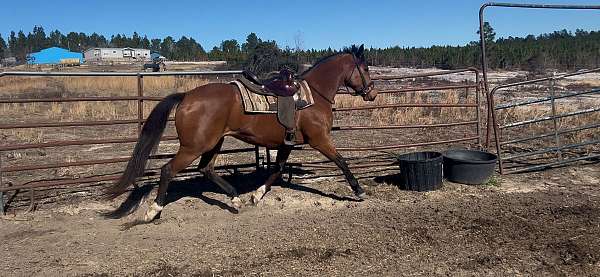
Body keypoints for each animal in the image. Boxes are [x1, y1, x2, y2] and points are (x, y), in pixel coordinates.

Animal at [105, 44, 378, 221]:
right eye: (365, 68)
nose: (372, 93)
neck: (313, 96)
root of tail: (187, 97)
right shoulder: (320, 140)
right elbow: (341, 161)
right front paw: (359, 190)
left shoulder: (286, 144)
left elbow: (277, 170)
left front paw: (256, 195)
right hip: (194, 147)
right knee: (168, 170)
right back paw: (154, 210)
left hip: (214, 143)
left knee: (206, 169)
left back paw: (235, 199)